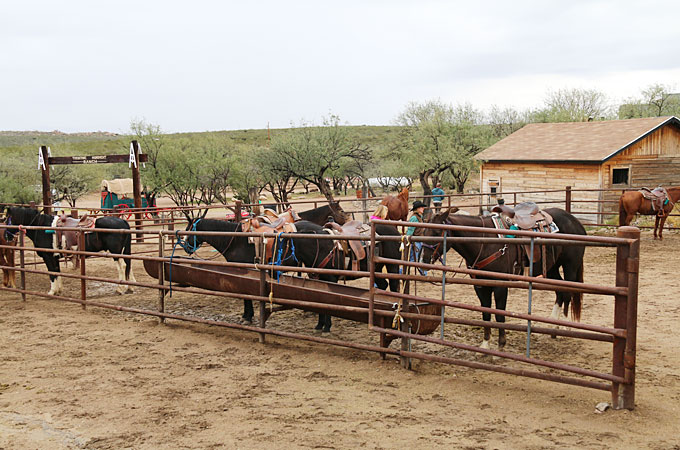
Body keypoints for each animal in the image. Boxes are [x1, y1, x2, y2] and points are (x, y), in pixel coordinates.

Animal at [5, 206, 135, 296]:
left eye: (6, 219)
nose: (6, 236)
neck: (41, 227)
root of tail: (123, 222)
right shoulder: (55, 257)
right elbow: (57, 271)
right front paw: (59, 290)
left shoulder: (48, 256)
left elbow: (52, 273)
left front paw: (52, 291)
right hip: (123, 251)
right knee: (128, 264)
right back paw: (130, 287)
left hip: (115, 252)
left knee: (122, 266)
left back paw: (120, 289)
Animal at [421, 208, 586, 349]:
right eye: (424, 230)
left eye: (437, 232)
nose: (423, 260)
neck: (485, 241)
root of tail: (576, 222)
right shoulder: (480, 286)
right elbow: (486, 314)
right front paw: (485, 345)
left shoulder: (500, 285)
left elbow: (500, 315)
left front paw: (501, 345)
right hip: (551, 268)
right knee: (559, 290)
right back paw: (553, 326)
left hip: (570, 266)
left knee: (567, 291)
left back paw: (564, 325)